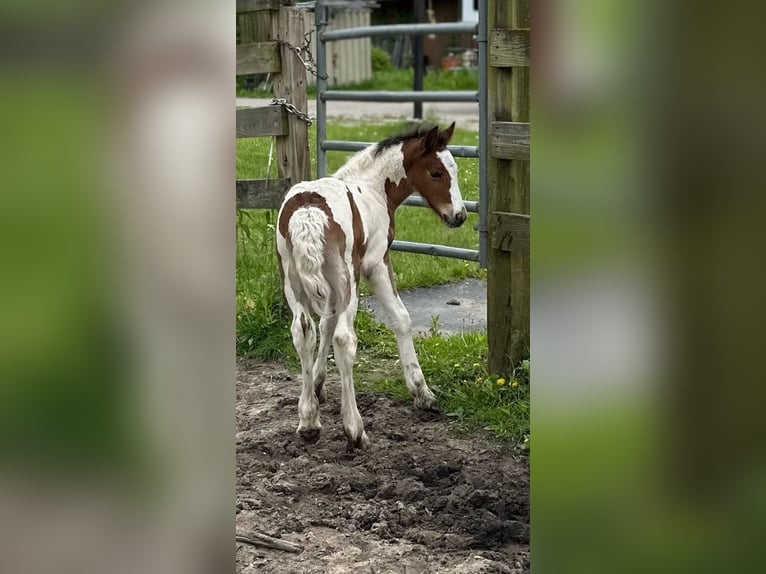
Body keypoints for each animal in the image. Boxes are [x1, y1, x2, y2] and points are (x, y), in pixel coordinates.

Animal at [276, 122, 466, 451]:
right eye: (436, 173)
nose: (459, 216)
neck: (373, 189)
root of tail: (308, 211)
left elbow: (325, 324)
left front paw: (318, 384)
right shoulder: (376, 263)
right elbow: (401, 318)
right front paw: (422, 393)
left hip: (293, 279)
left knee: (303, 331)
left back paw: (309, 422)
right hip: (347, 277)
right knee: (344, 338)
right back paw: (355, 429)